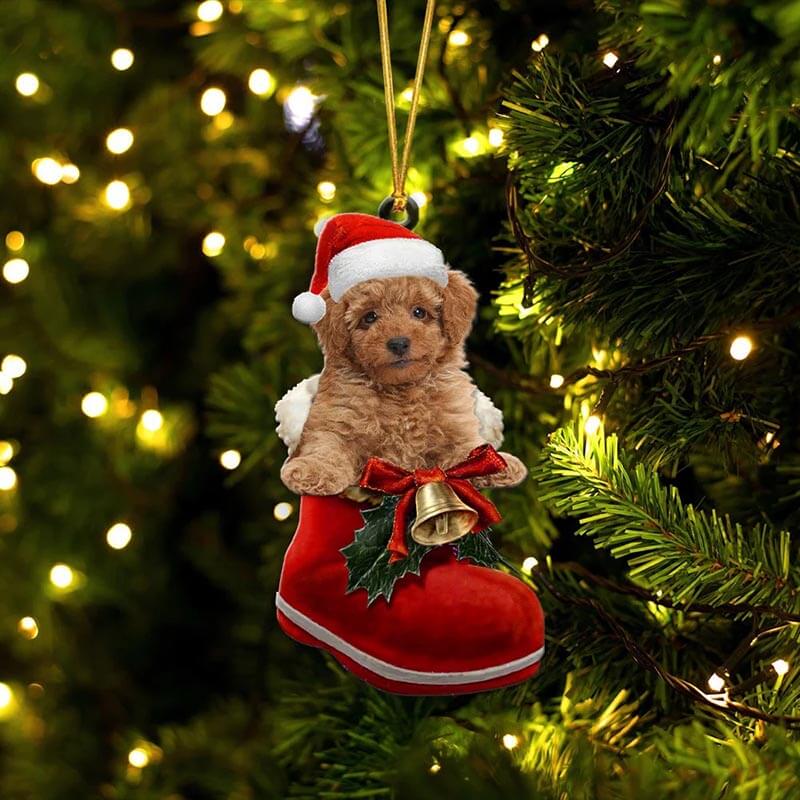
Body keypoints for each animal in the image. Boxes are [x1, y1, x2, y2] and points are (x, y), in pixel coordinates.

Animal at [278, 272, 528, 496]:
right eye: (370, 317)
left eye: (419, 312)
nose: (398, 343)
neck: (401, 391)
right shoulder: (337, 419)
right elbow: (326, 446)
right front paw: (313, 470)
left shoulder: (454, 427)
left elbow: (469, 449)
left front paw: (498, 462)